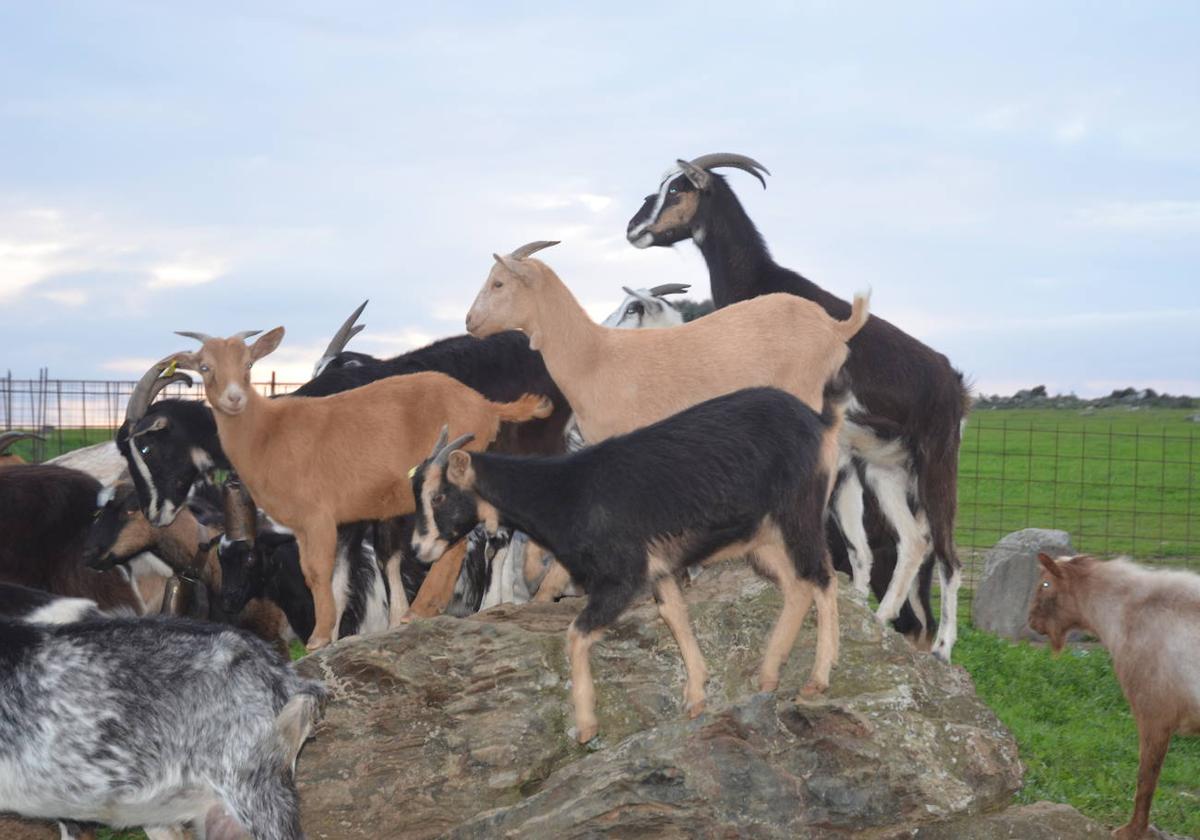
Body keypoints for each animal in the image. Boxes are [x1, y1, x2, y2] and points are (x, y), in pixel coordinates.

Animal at [412, 386, 844, 739]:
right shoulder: (658, 569)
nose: (418, 550)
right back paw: (769, 674)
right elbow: (674, 615)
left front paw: (586, 725)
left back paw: (817, 679)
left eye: (438, 496)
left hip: (798, 512)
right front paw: (696, 695)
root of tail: (820, 422)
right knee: (796, 585)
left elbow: (577, 633)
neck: (561, 493)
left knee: (822, 577)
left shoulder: (622, 575)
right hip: (763, 537)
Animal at [624, 154, 969, 657]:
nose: (634, 228)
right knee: (913, 541)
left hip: (937, 461)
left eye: (677, 189)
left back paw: (943, 648)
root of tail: (953, 382)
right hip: (883, 468)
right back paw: (879, 618)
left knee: (947, 554)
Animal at [1032, 554, 1200, 835]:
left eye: (1045, 583)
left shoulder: (1153, 713)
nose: (1032, 621)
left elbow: (1146, 778)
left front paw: (1133, 831)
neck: (1123, 613)